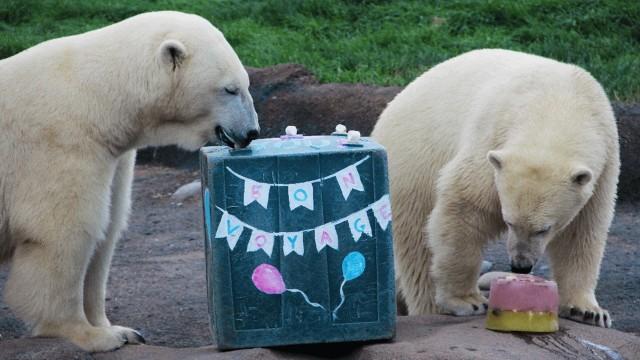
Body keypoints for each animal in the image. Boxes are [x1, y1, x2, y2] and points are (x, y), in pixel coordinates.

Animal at [0, 11, 260, 352]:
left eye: (246, 84)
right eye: (229, 89)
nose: (252, 132)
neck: (93, 97)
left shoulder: (114, 158)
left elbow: (107, 229)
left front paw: (120, 329)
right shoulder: (59, 144)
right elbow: (64, 232)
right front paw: (90, 335)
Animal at [372, 49, 616, 328]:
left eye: (544, 229)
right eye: (508, 221)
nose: (520, 266)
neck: (558, 104)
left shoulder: (604, 166)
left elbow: (581, 232)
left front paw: (587, 310)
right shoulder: (492, 141)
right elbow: (465, 206)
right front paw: (467, 301)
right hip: (412, 166)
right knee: (417, 245)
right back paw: (429, 306)